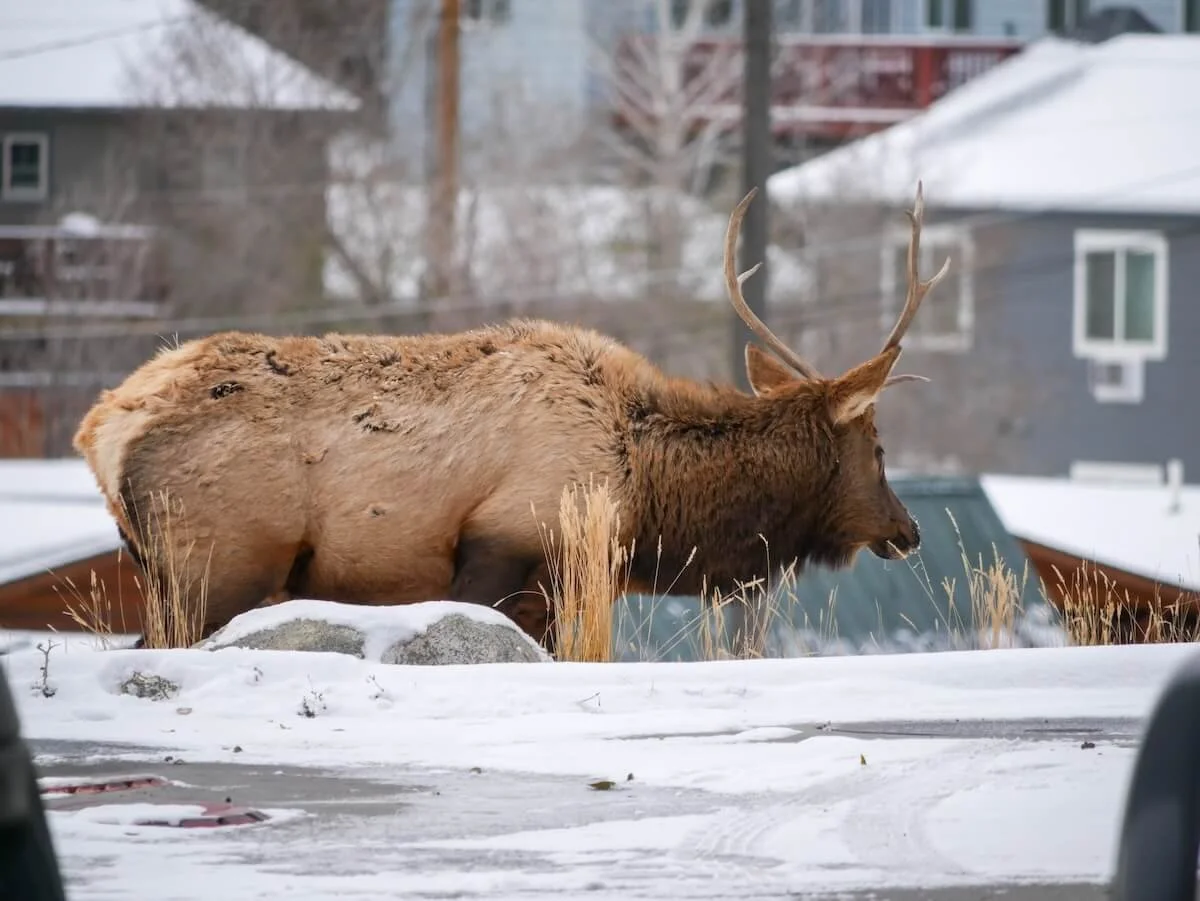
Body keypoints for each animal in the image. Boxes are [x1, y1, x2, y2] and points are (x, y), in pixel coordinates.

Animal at [72, 182, 949, 653]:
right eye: (876, 444)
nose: (908, 529)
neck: (645, 490)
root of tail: (100, 430)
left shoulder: (555, 588)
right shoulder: (505, 546)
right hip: (214, 564)